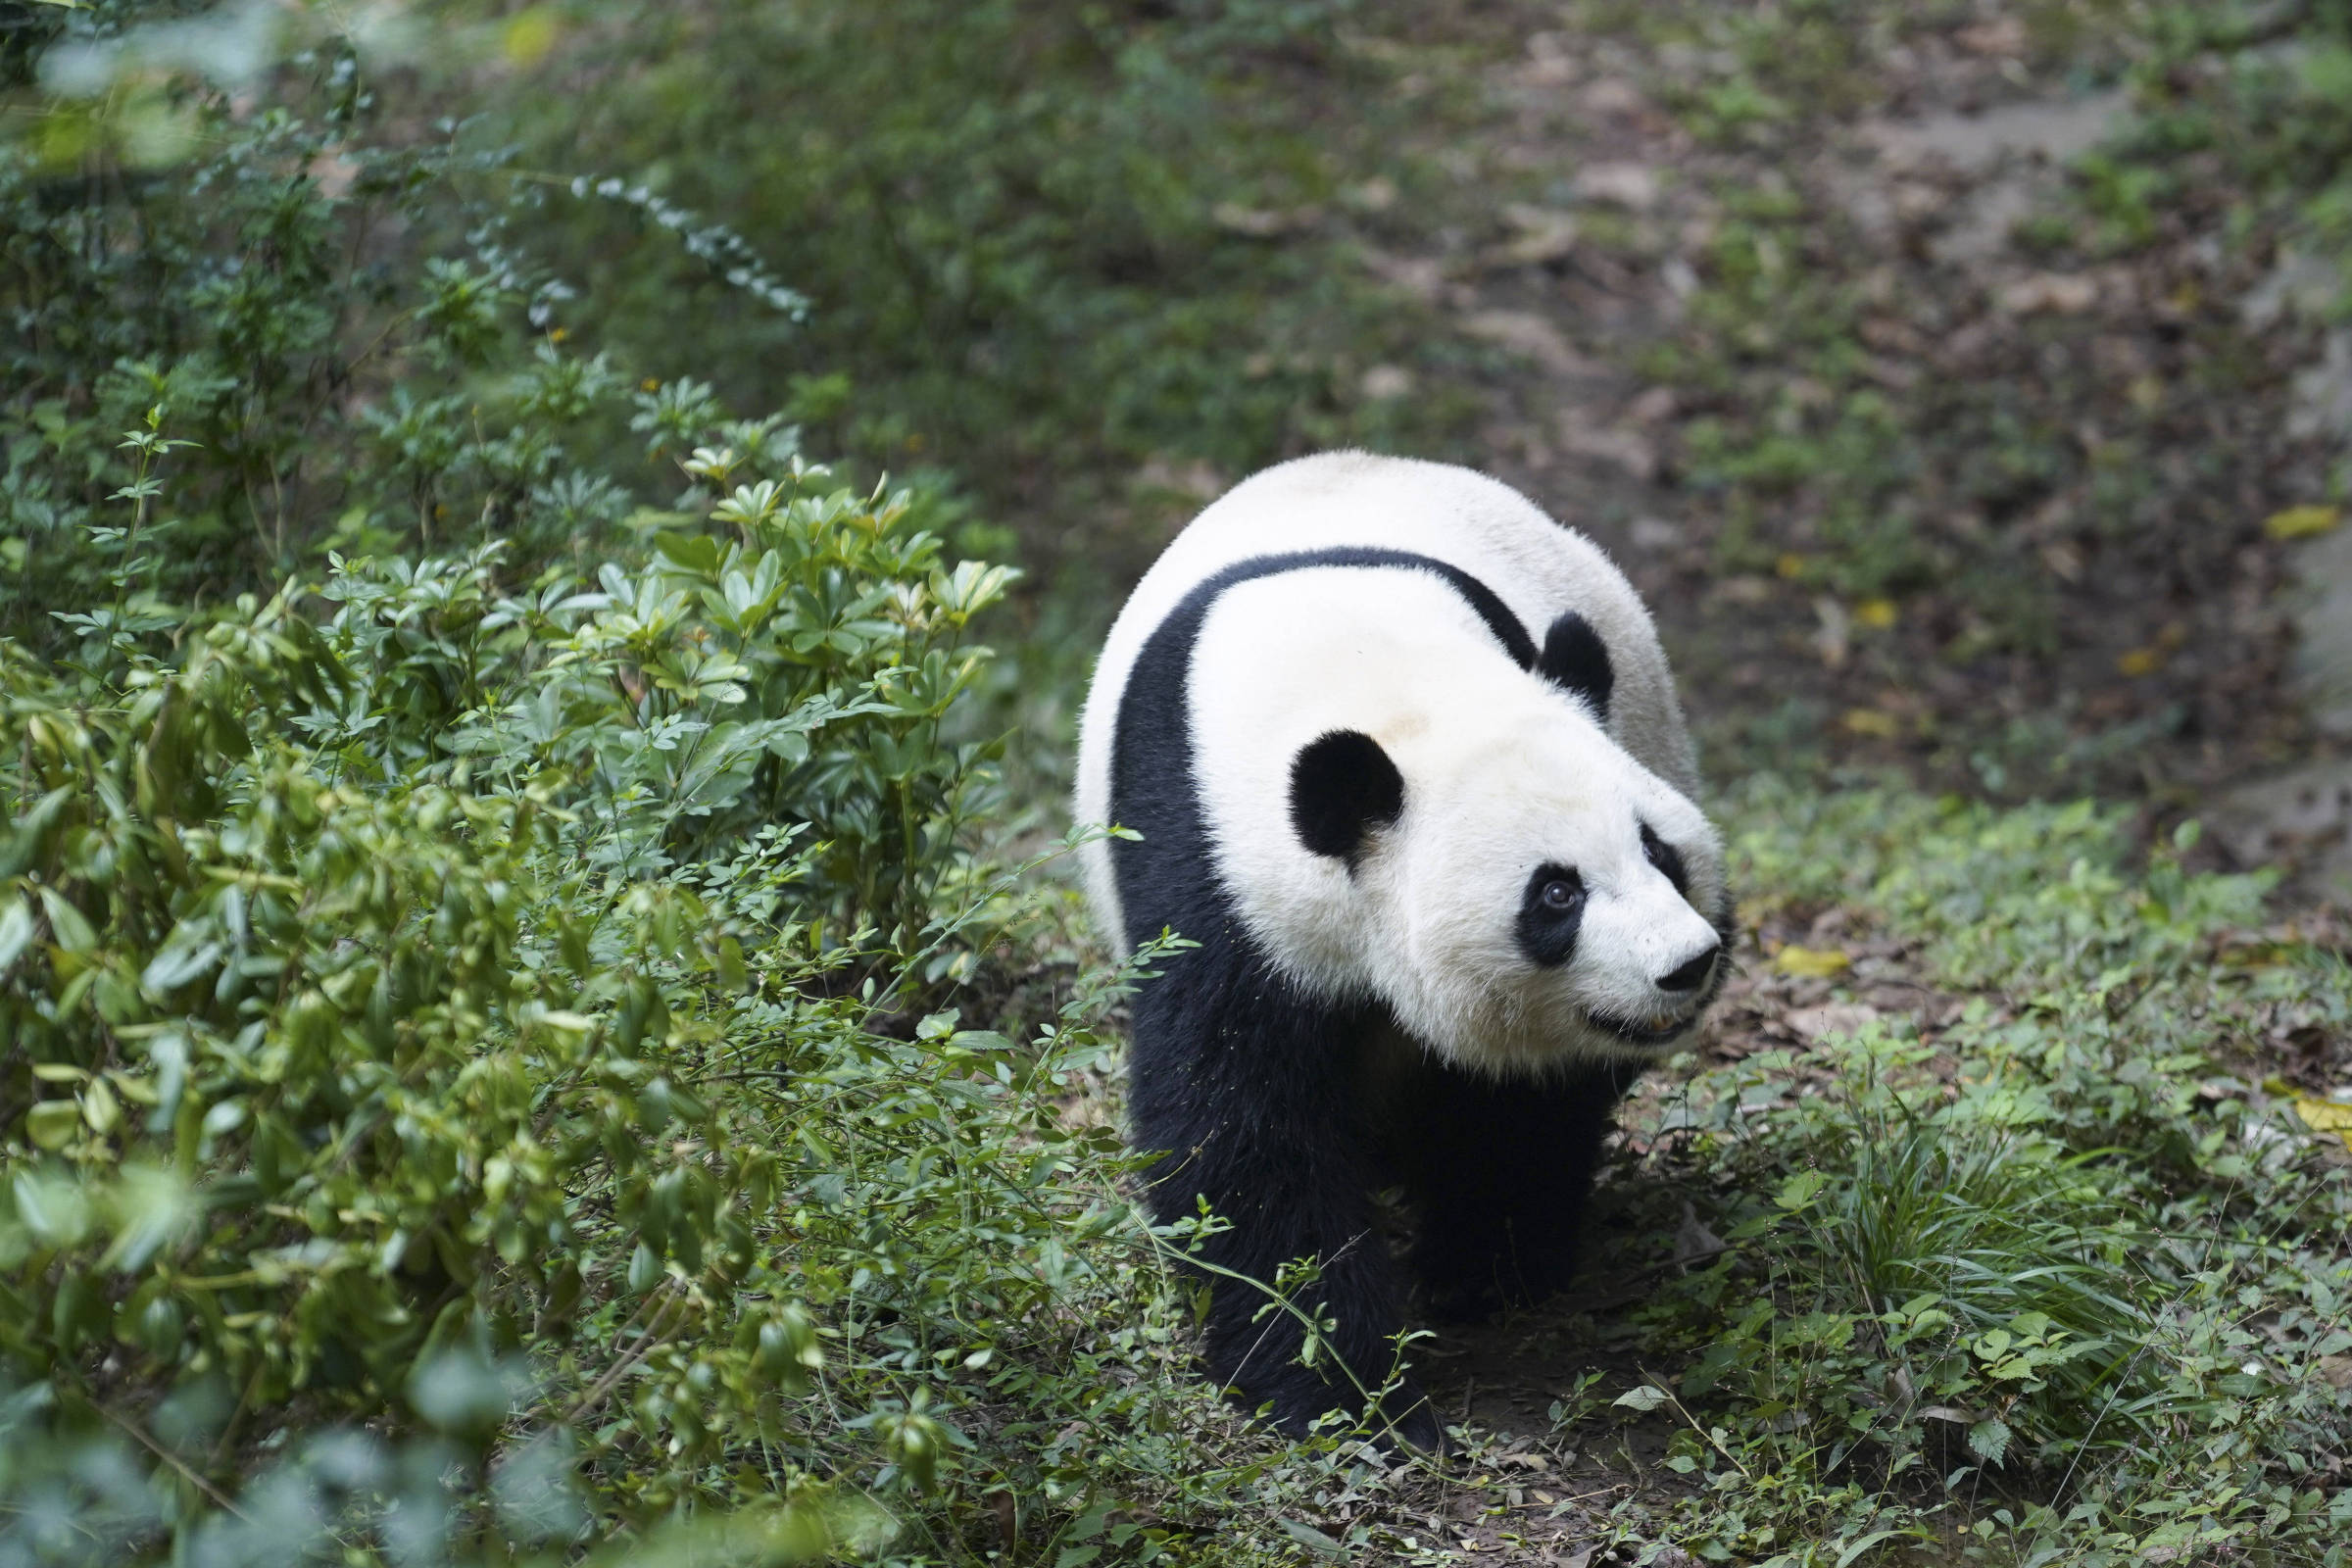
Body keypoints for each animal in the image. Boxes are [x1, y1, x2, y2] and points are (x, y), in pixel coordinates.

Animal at [1073, 452, 1730, 1450]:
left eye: (1659, 852)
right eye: (1557, 894)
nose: (1686, 965)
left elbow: (1513, 1103)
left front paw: (1481, 1266)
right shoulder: (1209, 869)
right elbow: (1243, 1131)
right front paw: (1339, 1392)